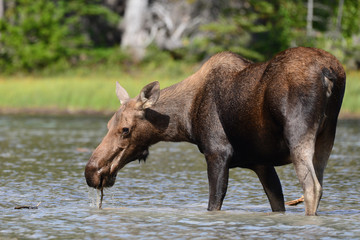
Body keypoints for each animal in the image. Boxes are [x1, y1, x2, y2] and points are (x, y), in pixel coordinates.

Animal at [85, 47, 346, 216]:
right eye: (108, 125)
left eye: (125, 129)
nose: (91, 172)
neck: (186, 120)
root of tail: (329, 72)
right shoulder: (261, 163)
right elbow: (277, 203)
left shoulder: (218, 152)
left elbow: (214, 204)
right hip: (327, 135)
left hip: (298, 132)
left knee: (311, 187)